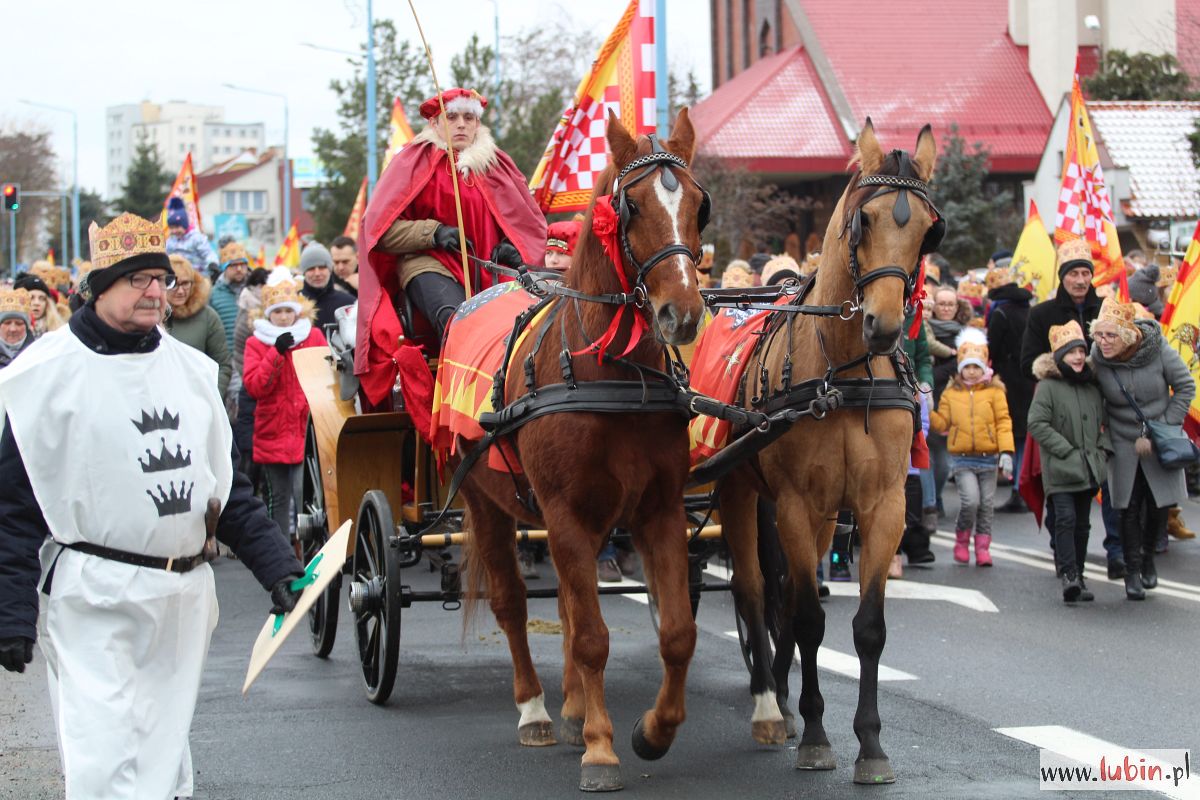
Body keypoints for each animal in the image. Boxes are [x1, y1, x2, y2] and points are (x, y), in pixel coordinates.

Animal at [453, 109, 705, 791]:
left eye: (698, 204)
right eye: (631, 206)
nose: (682, 314)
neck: (610, 373)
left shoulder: (658, 511)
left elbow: (677, 632)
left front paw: (653, 731)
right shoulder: (564, 513)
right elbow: (591, 636)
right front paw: (601, 749)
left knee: (566, 603)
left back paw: (568, 706)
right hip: (484, 501)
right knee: (515, 605)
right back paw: (537, 709)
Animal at [710, 122, 936, 786]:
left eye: (926, 228)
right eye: (865, 221)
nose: (884, 326)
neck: (842, 373)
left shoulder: (880, 506)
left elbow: (868, 629)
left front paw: (871, 744)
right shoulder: (794, 502)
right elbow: (809, 618)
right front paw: (814, 735)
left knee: (782, 590)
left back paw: (783, 697)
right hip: (741, 491)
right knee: (756, 590)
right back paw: (770, 700)